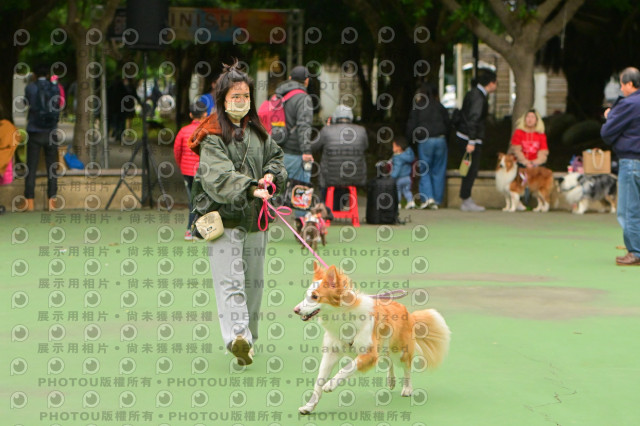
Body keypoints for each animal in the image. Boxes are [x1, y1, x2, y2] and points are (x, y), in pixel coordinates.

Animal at [293, 263, 451, 415]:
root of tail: (408, 312)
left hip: (399, 351)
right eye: (306, 295)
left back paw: (407, 388)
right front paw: (309, 406)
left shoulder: (368, 353)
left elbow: (346, 368)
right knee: (388, 361)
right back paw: (391, 380)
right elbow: (318, 383)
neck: (341, 316)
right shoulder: (331, 353)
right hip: (384, 348)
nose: (295, 310)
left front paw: (330, 384)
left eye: (315, 296)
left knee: (406, 366)